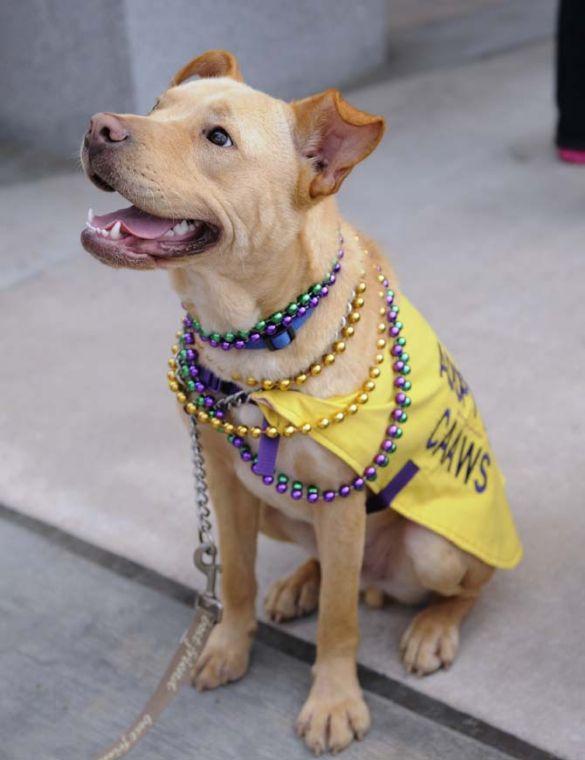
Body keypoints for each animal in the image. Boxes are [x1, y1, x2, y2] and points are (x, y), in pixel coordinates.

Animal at [80, 50, 512, 756]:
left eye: (218, 137)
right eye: (157, 106)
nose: (98, 126)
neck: (253, 345)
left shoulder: (340, 501)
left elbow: (338, 623)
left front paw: (334, 700)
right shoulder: (226, 483)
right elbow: (234, 577)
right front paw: (229, 645)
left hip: (437, 549)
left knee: (459, 588)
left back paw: (432, 626)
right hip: (275, 510)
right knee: (327, 566)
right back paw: (299, 582)